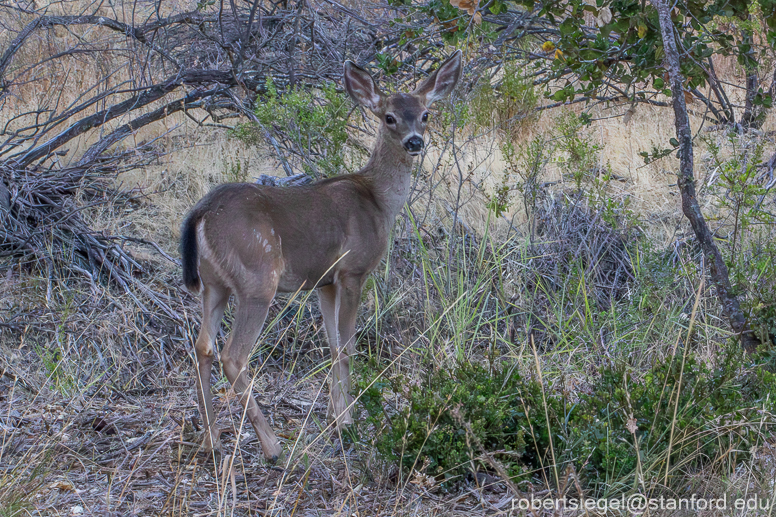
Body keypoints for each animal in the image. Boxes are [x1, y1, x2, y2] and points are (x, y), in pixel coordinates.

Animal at [180, 50, 460, 460]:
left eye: (425, 114)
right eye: (389, 117)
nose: (414, 142)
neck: (378, 201)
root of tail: (200, 212)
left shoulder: (324, 281)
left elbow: (331, 345)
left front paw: (333, 415)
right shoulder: (353, 269)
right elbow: (347, 346)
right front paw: (346, 422)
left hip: (214, 284)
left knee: (202, 346)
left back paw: (212, 440)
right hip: (257, 276)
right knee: (233, 354)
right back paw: (273, 446)